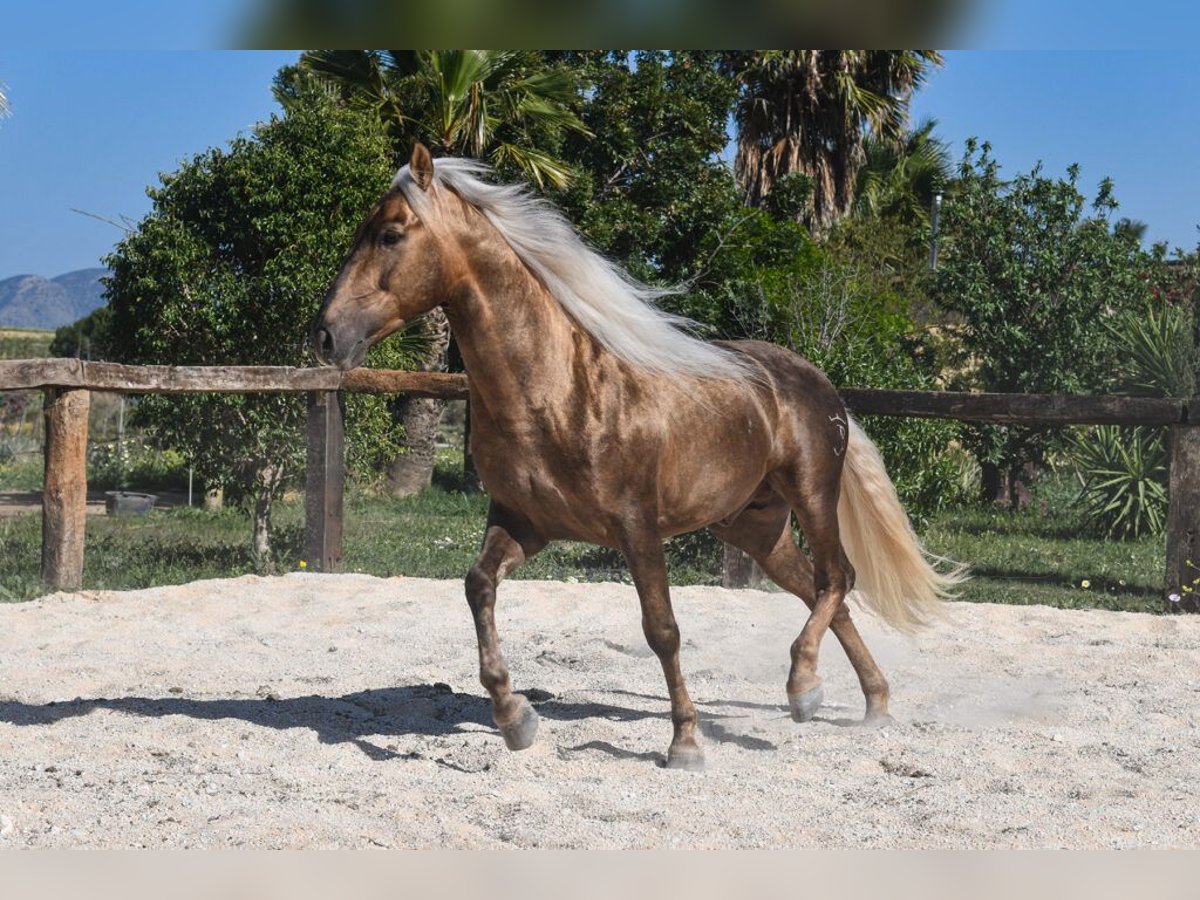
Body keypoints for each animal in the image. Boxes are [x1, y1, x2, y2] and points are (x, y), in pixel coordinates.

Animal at [312, 144, 964, 772]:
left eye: (390, 234)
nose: (325, 335)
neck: (556, 390)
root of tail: (818, 382)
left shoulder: (636, 526)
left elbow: (663, 630)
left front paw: (685, 745)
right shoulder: (523, 523)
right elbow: (478, 588)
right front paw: (515, 719)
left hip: (811, 494)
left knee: (837, 578)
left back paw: (804, 687)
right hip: (755, 526)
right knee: (818, 589)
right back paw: (868, 702)